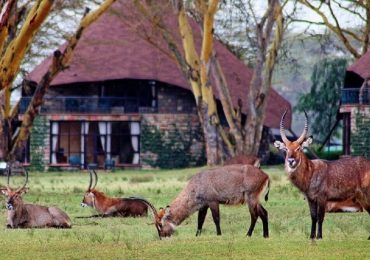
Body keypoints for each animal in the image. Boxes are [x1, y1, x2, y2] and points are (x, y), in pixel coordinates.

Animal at [274, 110, 370, 240]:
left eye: (299, 148)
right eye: (286, 149)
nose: (291, 161)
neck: (311, 172)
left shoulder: (322, 198)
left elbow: (320, 217)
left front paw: (319, 237)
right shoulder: (311, 199)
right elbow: (313, 217)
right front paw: (311, 236)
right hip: (361, 197)